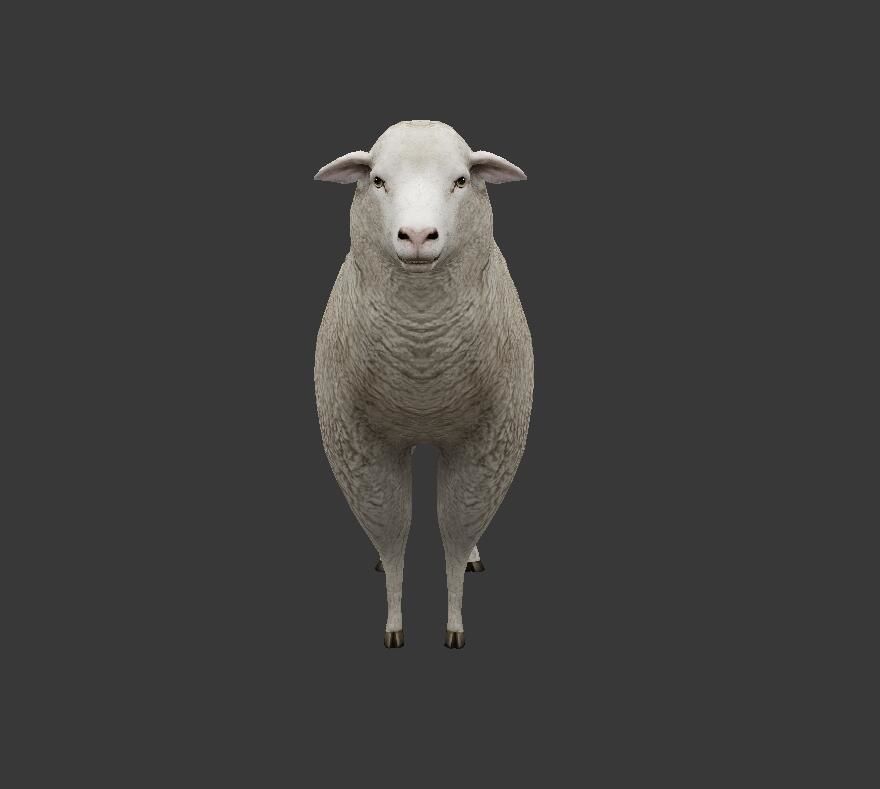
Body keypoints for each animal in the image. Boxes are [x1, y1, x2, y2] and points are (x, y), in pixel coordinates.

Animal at [313, 120, 533, 648]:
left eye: (460, 181)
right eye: (377, 181)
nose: (416, 235)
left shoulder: (488, 446)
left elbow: (456, 531)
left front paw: (454, 625)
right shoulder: (360, 447)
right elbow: (391, 532)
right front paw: (393, 623)